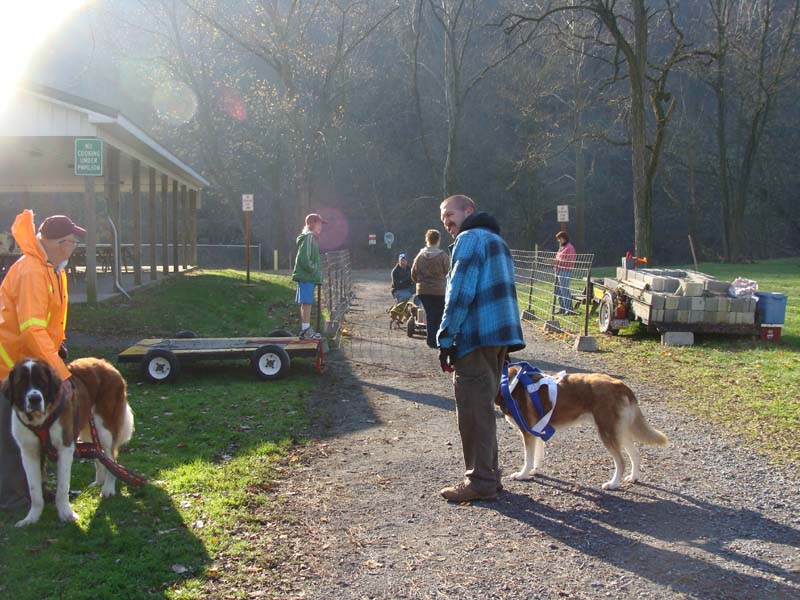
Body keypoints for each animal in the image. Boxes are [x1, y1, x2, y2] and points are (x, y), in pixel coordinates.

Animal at [2, 356, 134, 524]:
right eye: (22, 383)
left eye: (42, 382)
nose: (34, 399)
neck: (40, 421)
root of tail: (107, 364)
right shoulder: (28, 453)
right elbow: (34, 490)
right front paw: (31, 518)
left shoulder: (65, 447)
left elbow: (63, 487)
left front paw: (66, 514)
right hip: (87, 428)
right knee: (100, 456)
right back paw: (99, 482)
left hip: (104, 430)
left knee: (111, 458)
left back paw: (108, 488)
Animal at [496, 368, 664, 490]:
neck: (510, 385)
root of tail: (620, 385)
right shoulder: (537, 430)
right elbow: (538, 455)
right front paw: (534, 470)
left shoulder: (527, 433)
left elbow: (528, 458)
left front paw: (522, 474)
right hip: (619, 431)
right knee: (635, 454)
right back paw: (633, 477)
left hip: (607, 432)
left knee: (621, 461)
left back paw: (613, 484)